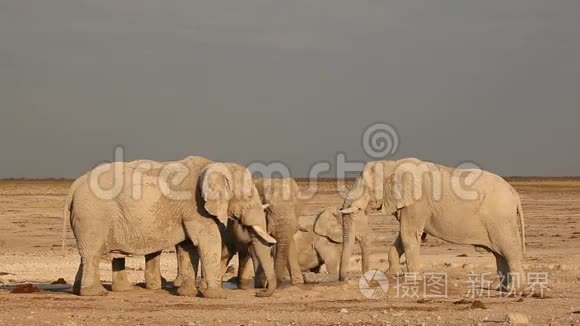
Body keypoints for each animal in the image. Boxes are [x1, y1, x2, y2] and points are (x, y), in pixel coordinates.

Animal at [64, 156, 278, 298]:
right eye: (249, 196)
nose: (260, 293)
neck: (216, 165)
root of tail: (75, 186)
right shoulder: (195, 207)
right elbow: (208, 241)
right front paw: (216, 296)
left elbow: (188, 247)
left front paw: (187, 294)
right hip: (92, 215)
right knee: (92, 252)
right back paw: (95, 293)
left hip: (88, 217)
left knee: (86, 253)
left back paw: (81, 291)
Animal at [340, 158, 524, 290]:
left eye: (365, 187)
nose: (345, 280)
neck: (393, 164)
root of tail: (515, 194)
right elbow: (403, 236)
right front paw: (394, 275)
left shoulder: (417, 203)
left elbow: (408, 235)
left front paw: (412, 280)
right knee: (499, 254)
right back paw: (501, 288)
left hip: (501, 220)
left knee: (509, 250)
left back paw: (514, 289)